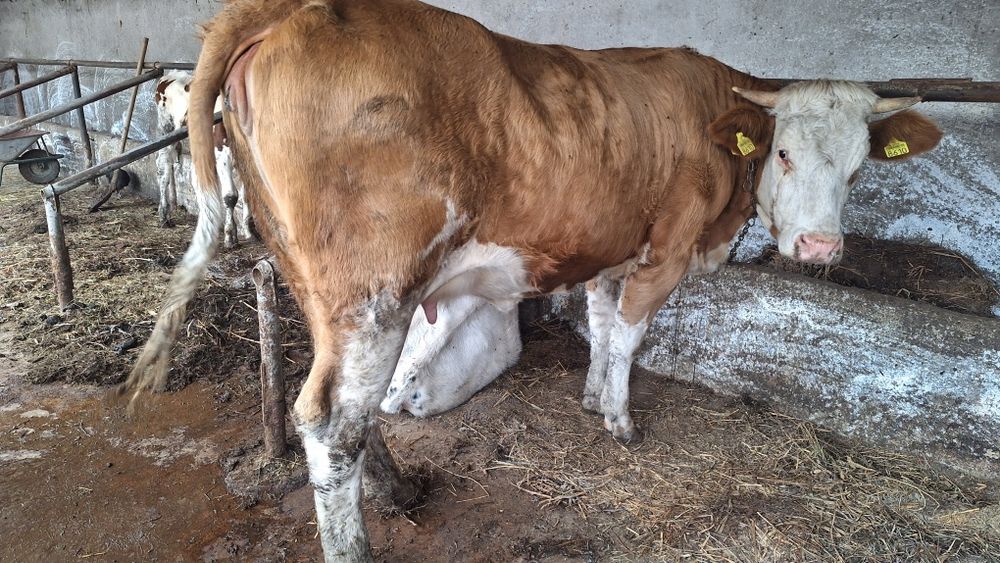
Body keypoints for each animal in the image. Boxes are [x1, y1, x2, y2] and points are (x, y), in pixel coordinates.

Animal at [154, 71, 254, 248]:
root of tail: (170, 75)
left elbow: (247, 195)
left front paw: (248, 230)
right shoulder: (222, 154)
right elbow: (230, 196)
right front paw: (230, 235)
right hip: (166, 131)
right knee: (163, 171)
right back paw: (164, 214)